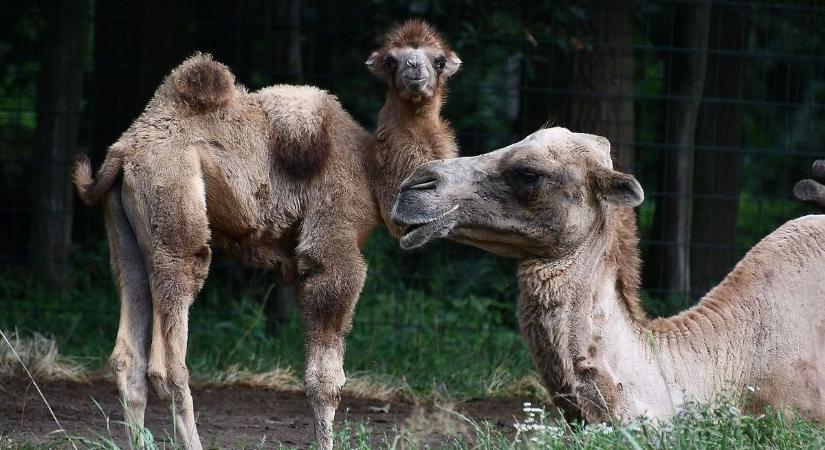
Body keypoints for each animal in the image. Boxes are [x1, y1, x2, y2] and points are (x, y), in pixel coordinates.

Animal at [73, 19, 460, 448]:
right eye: (392, 60)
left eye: (438, 59)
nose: (414, 71)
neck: (371, 173)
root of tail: (123, 151)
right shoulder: (332, 241)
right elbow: (327, 379)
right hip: (175, 217)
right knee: (168, 362)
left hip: (124, 237)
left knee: (128, 354)